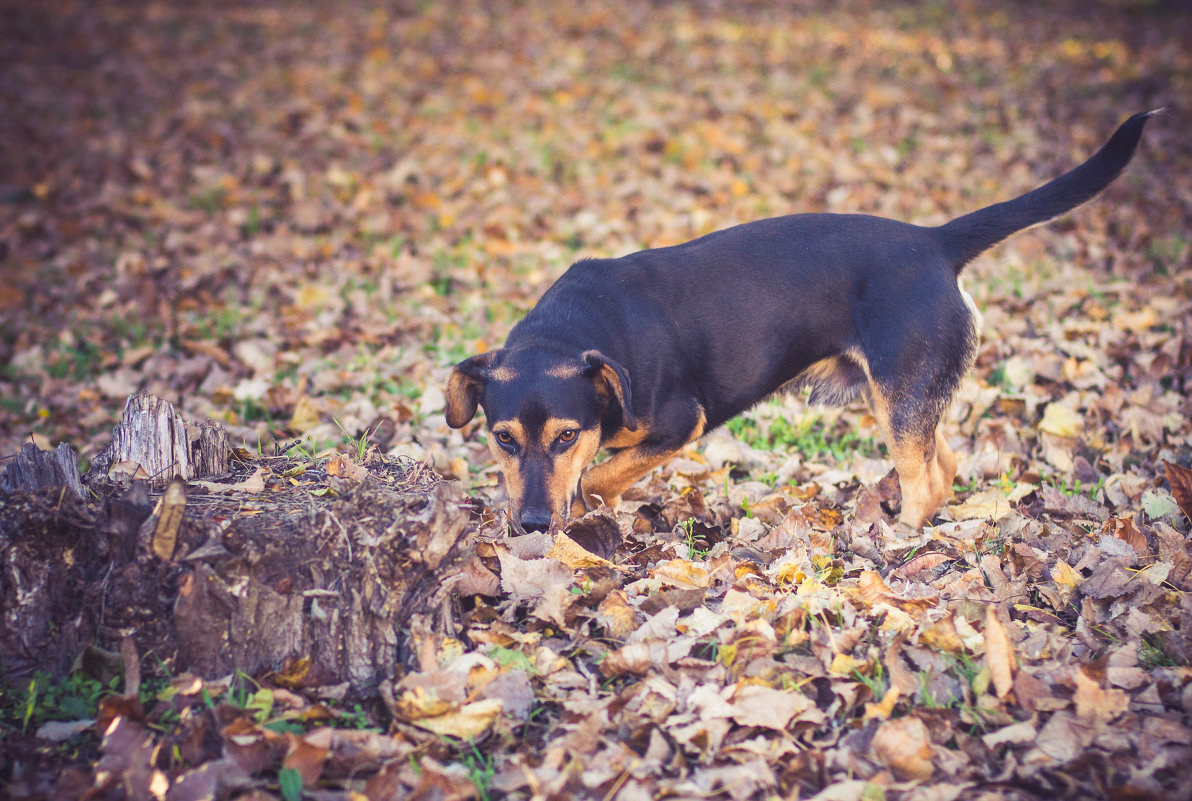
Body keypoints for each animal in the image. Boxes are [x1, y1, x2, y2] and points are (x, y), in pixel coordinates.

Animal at [445, 107, 1153, 531]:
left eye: (566, 436)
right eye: (503, 439)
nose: (533, 526)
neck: (570, 332)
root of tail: (936, 241)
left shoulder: (680, 422)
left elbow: (599, 476)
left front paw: (593, 506)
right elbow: (606, 474)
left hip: (901, 394)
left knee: (923, 481)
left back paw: (901, 544)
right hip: (902, 396)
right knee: (943, 463)